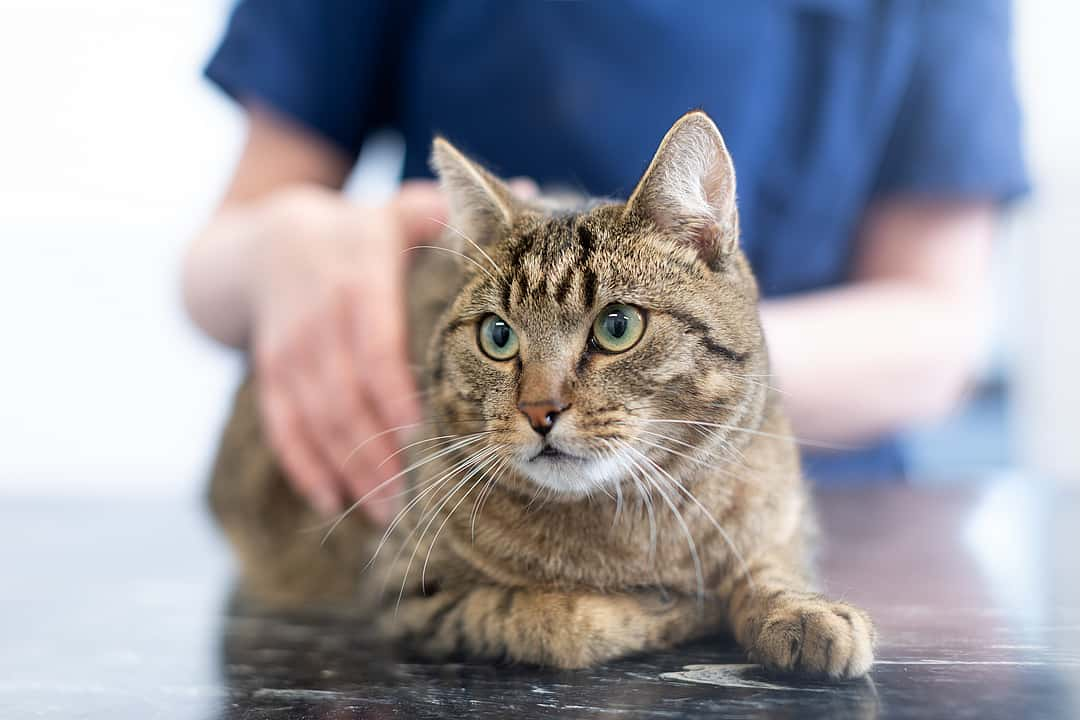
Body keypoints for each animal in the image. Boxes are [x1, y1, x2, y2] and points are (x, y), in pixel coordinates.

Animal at [210, 111, 876, 677]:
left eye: (617, 327)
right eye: (498, 336)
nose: (539, 411)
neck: (626, 531)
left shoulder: (787, 521)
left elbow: (767, 565)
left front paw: (805, 611)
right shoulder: (409, 589)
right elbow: (557, 620)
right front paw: (668, 608)